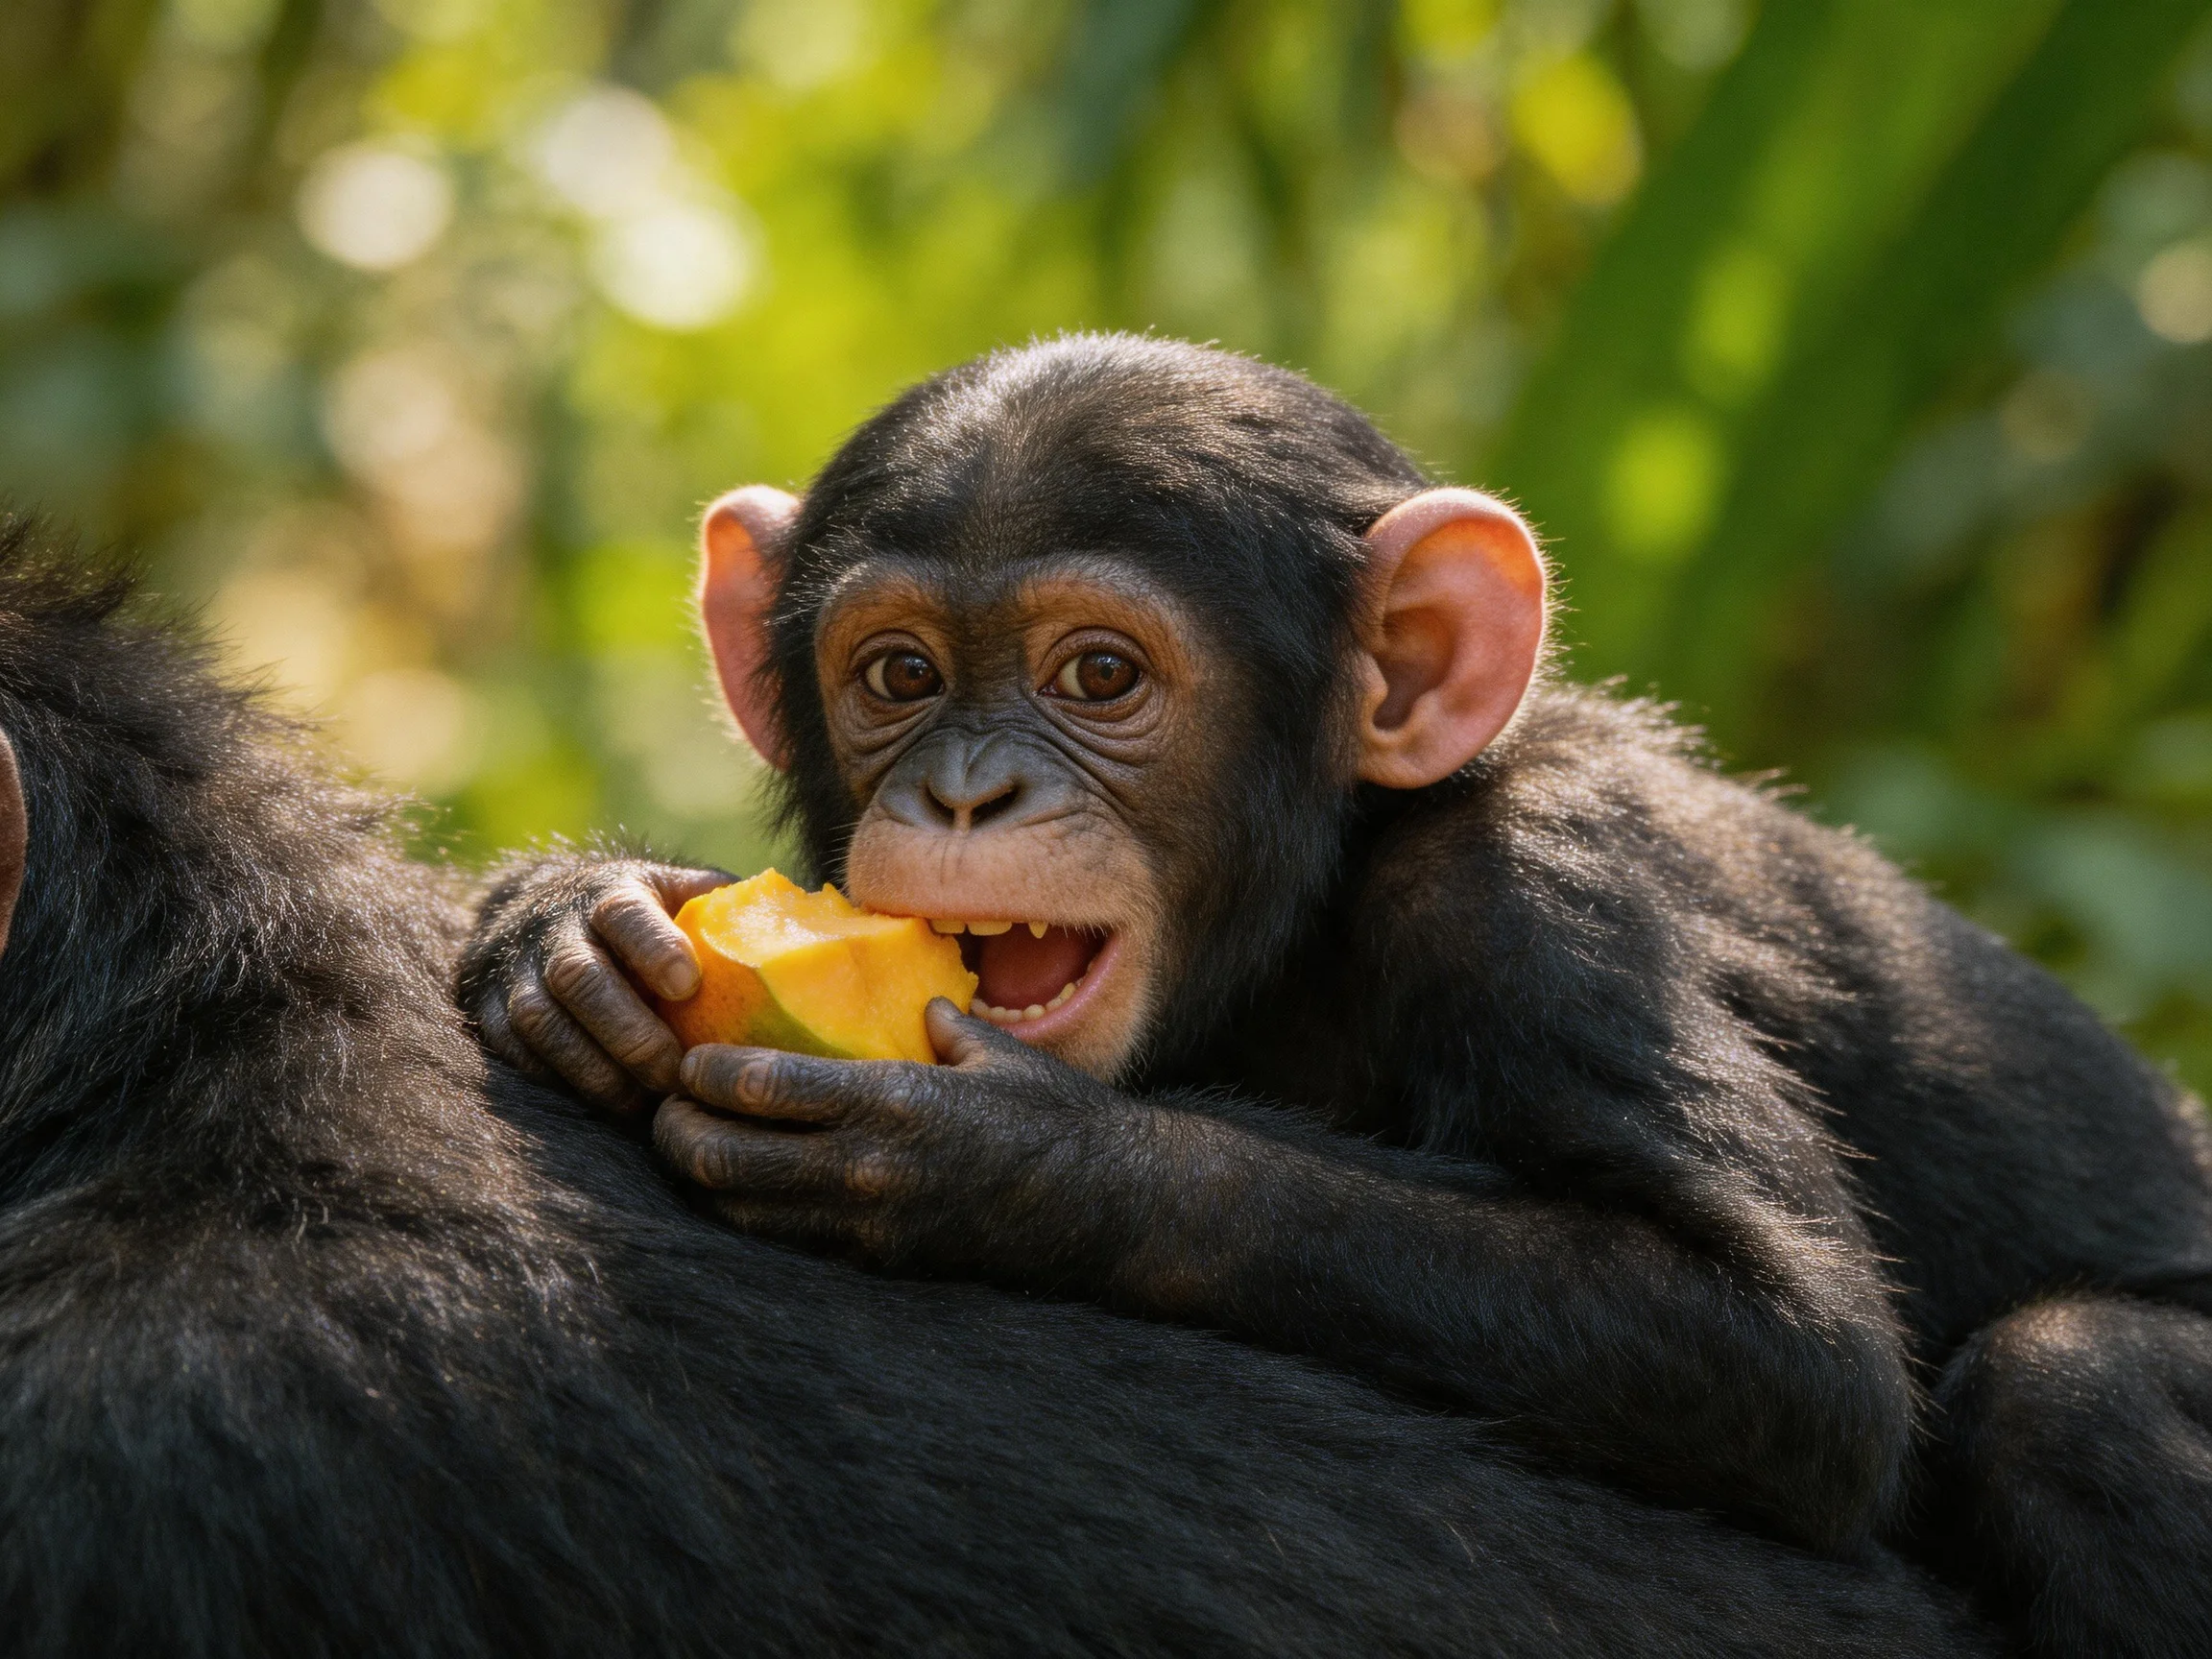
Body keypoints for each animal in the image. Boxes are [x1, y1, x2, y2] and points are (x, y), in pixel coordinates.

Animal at [461, 334, 2212, 1658]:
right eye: (898, 674)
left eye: (1098, 674)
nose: (964, 792)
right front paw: (585, 924)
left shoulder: (1534, 895)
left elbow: (1782, 1337)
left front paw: (1006, 1159)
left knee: (2081, 1391)